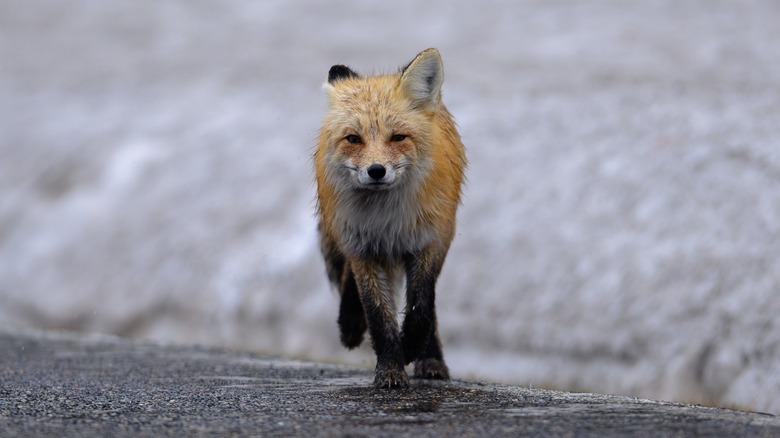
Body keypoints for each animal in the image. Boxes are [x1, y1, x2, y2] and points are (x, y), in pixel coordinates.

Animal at [314, 48, 467, 388]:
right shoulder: (362, 247)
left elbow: (422, 306)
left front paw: (411, 347)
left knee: (430, 309)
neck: (387, 219)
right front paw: (390, 369)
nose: (376, 171)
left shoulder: (428, 242)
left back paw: (431, 358)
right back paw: (350, 324)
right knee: (350, 284)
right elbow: (378, 315)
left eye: (398, 137)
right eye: (353, 139)